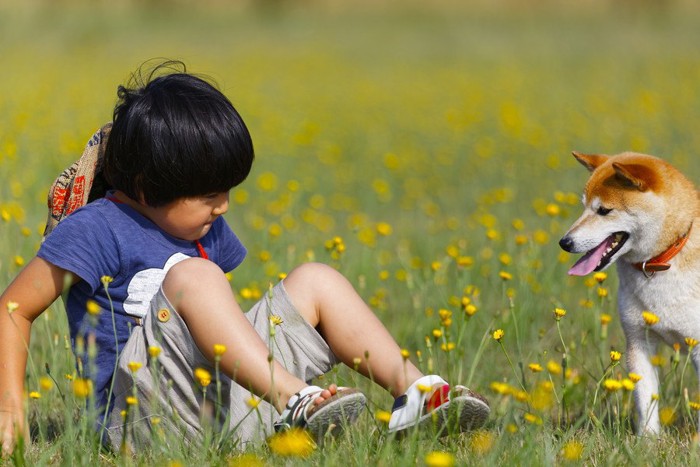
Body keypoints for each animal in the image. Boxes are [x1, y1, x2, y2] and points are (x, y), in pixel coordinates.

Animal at [556, 153, 700, 436]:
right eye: (583, 207)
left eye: (604, 211)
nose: (564, 242)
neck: (660, 262)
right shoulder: (637, 340)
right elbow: (645, 400)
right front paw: (648, 441)